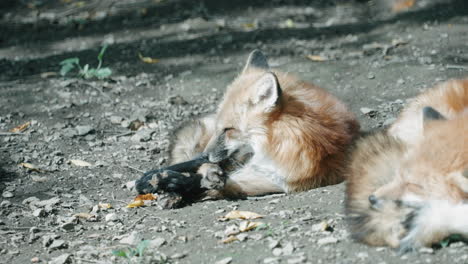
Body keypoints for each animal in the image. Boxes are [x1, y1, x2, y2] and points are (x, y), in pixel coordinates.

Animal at [137, 49, 360, 202]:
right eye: (219, 127)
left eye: (228, 130)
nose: (207, 154)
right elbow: (194, 170)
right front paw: (159, 180)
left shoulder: (276, 179)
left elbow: (206, 183)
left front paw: (179, 184)